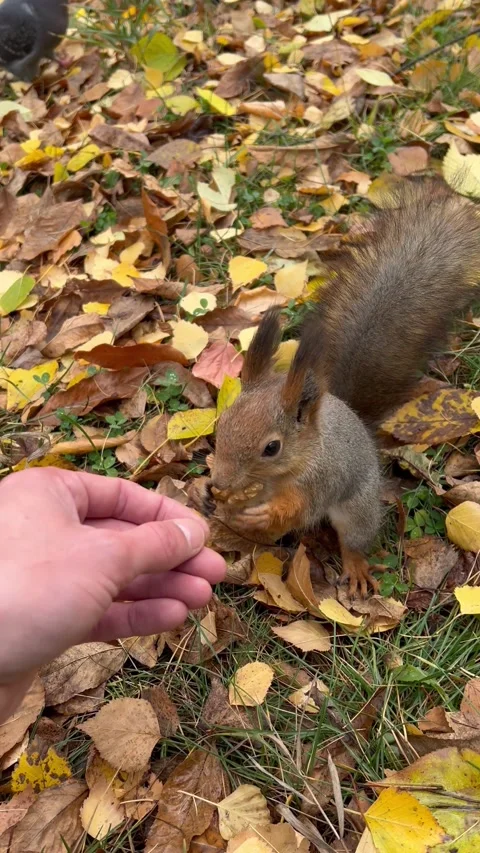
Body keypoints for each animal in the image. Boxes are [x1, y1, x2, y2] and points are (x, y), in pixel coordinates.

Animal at [192, 178, 480, 597]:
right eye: (221, 425)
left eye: (272, 448)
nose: (220, 482)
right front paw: (207, 493)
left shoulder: (321, 478)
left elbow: (298, 509)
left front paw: (264, 512)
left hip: (358, 506)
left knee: (354, 539)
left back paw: (355, 566)